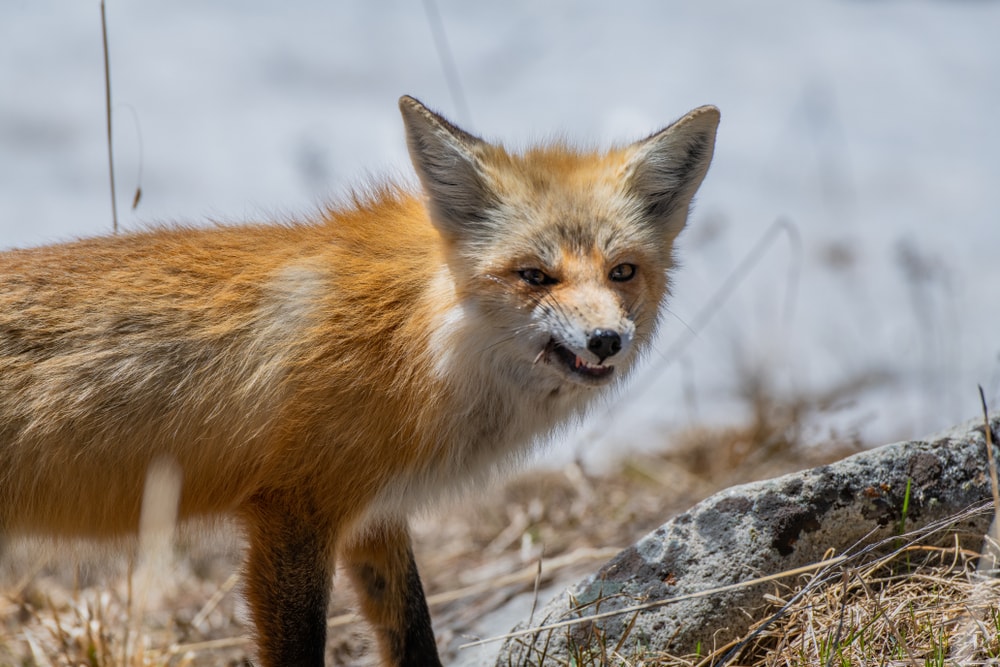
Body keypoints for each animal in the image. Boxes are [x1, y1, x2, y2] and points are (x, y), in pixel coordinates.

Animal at [0, 96, 718, 666]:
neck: (416, 341)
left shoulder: (377, 515)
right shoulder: (292, 510)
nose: (607, 341)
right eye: (535, 276)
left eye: (622, 272)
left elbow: (414, 635)